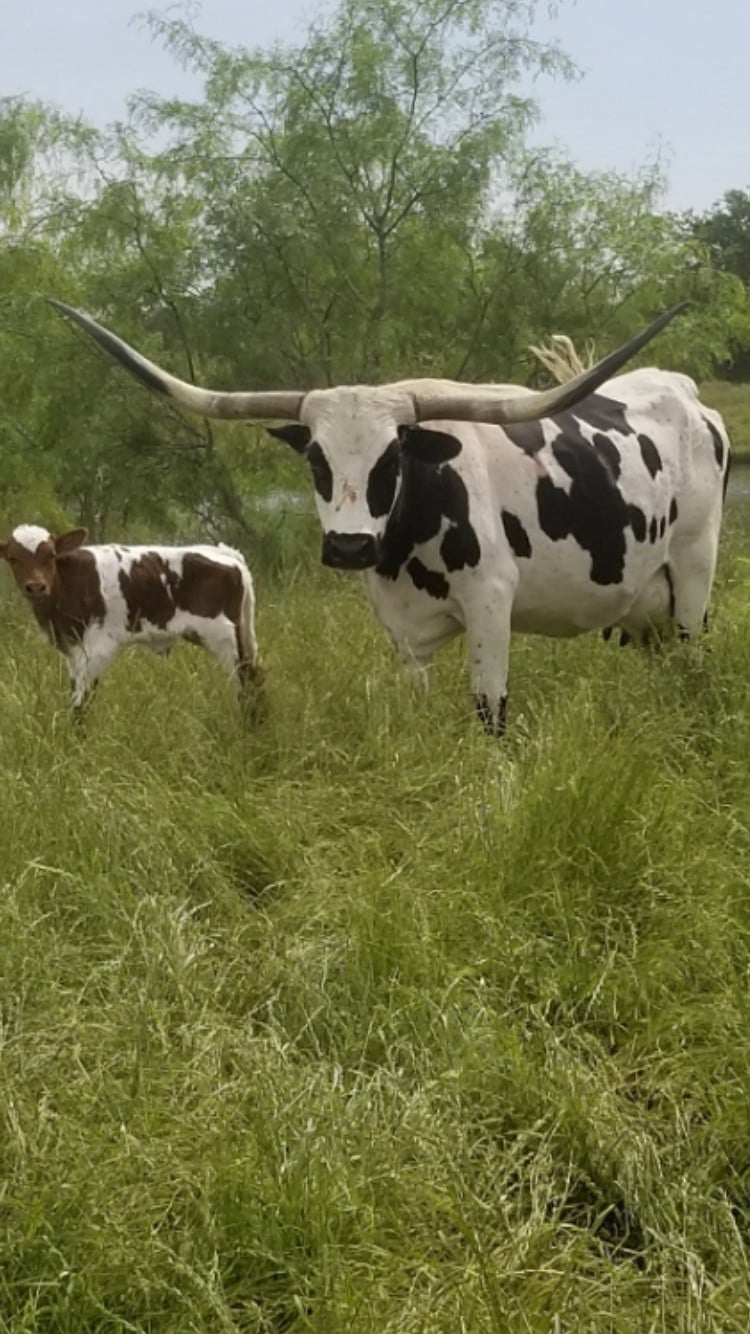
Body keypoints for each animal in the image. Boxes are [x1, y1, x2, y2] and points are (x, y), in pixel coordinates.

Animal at [0, 522, 262, 720]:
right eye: (13, 559)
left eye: (51, 555)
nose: (36, 586)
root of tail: (227, 555)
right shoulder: (72, 651)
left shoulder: (97, 649)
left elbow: (81, 705)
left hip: (224, 637)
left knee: (246, 687)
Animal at [48, 301, 725, 736]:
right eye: (316, 458)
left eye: (393, 454)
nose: (349, 547)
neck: (411, 536)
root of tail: (685, 392)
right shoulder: (403, 630)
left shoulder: (491, 603)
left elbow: (490, 712)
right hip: (646, 607)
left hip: (693, 577)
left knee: (694, 660)